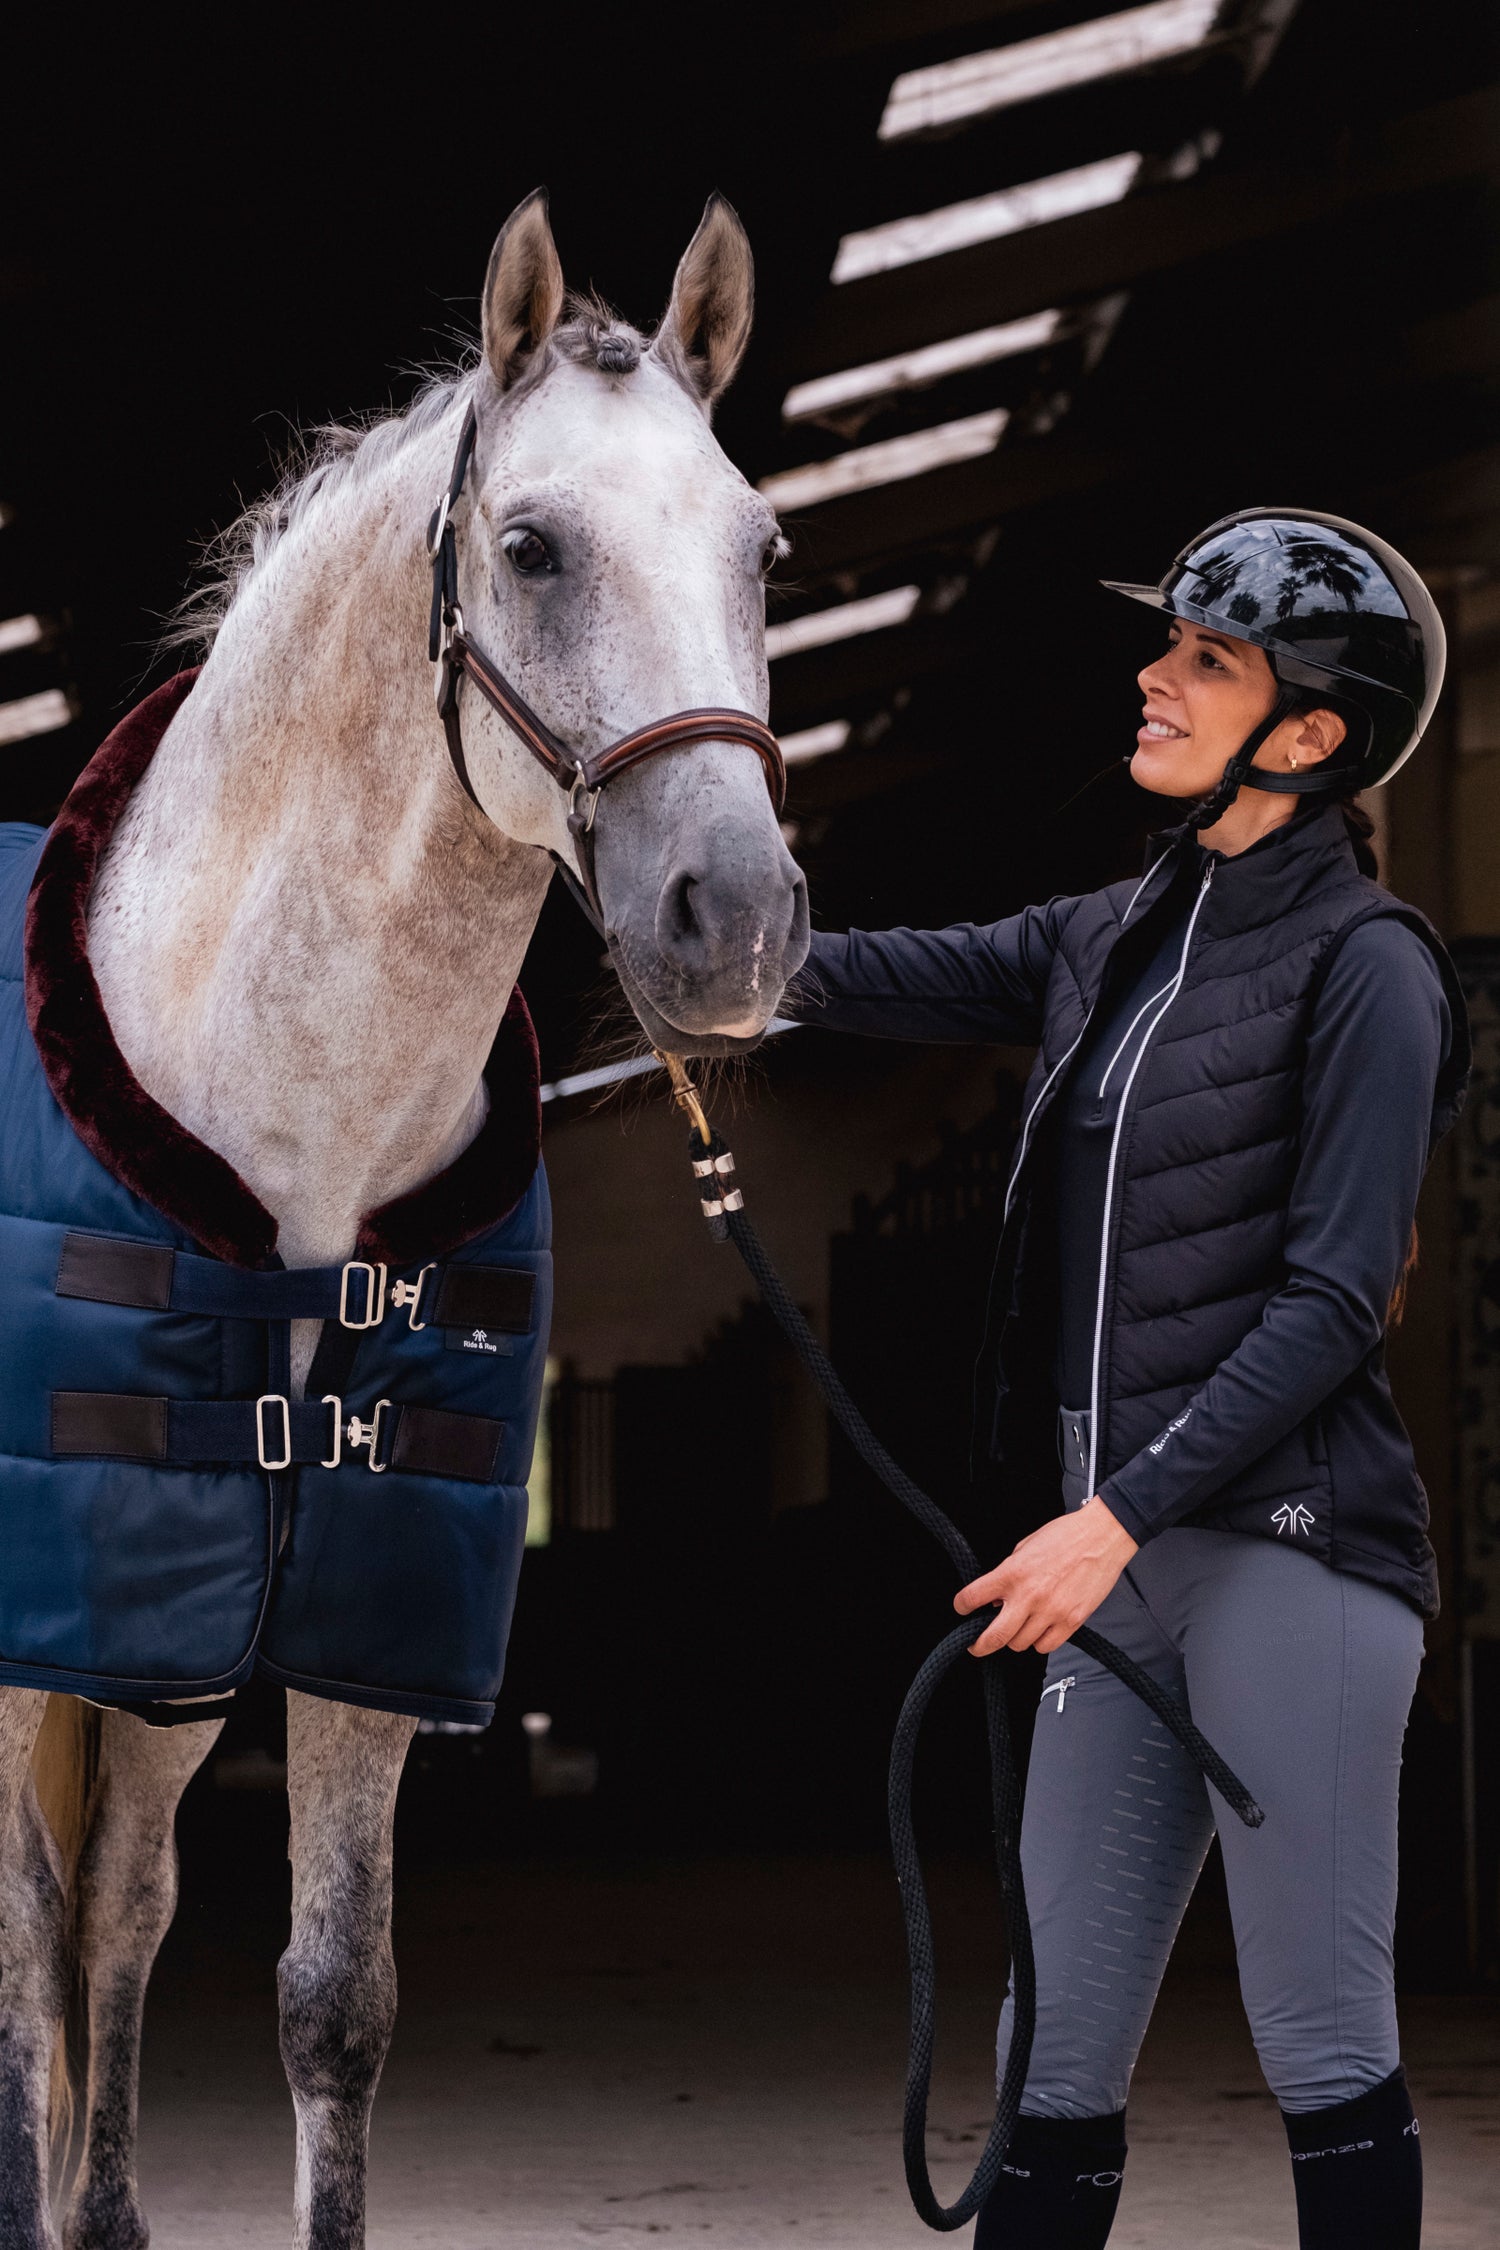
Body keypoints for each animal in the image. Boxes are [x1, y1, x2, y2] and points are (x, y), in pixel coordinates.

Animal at [0, 188, 807, 2250]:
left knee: (121, 1914)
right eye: (529, 547)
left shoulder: (346, 1618)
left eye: (762, 549)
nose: (739, 922)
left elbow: (324, 2002)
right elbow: (20, 1979)